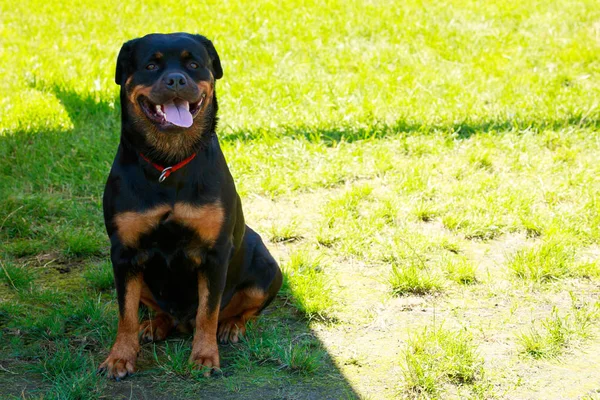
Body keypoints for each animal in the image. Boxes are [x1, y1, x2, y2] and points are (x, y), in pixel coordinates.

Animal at [99, 32, 284, 380]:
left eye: (194, 64)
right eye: (151, 65)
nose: (175, 79)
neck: (169, 164)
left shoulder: (215, 253)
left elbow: (207, 312)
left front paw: (204, 357)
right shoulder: (124, 253)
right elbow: (125, 313)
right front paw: (120, 357)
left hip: (267, 270)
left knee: (245, 309)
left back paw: (231, 327)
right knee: (158, 311)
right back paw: (154, 326)